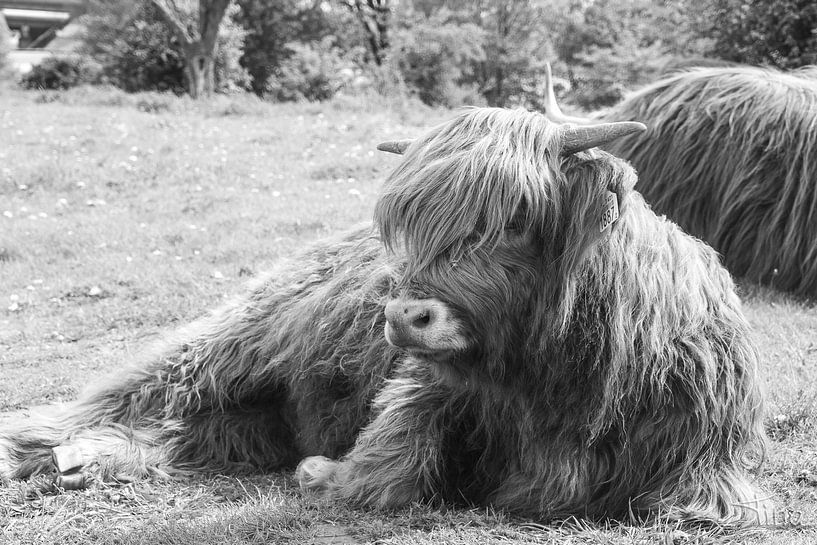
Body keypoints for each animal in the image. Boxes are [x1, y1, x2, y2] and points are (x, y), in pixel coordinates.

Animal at [1, 105, 764, 524]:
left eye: (517, 217)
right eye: (407, 219)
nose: (402, 315)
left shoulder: (705, 464)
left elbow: (688, 504)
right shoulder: (419, 391)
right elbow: (387, 471)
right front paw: (322, 474)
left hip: (255, 414)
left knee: (191, 431)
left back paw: (85, 461)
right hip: (234, 338)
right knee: (130, 390)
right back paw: (38, 446)